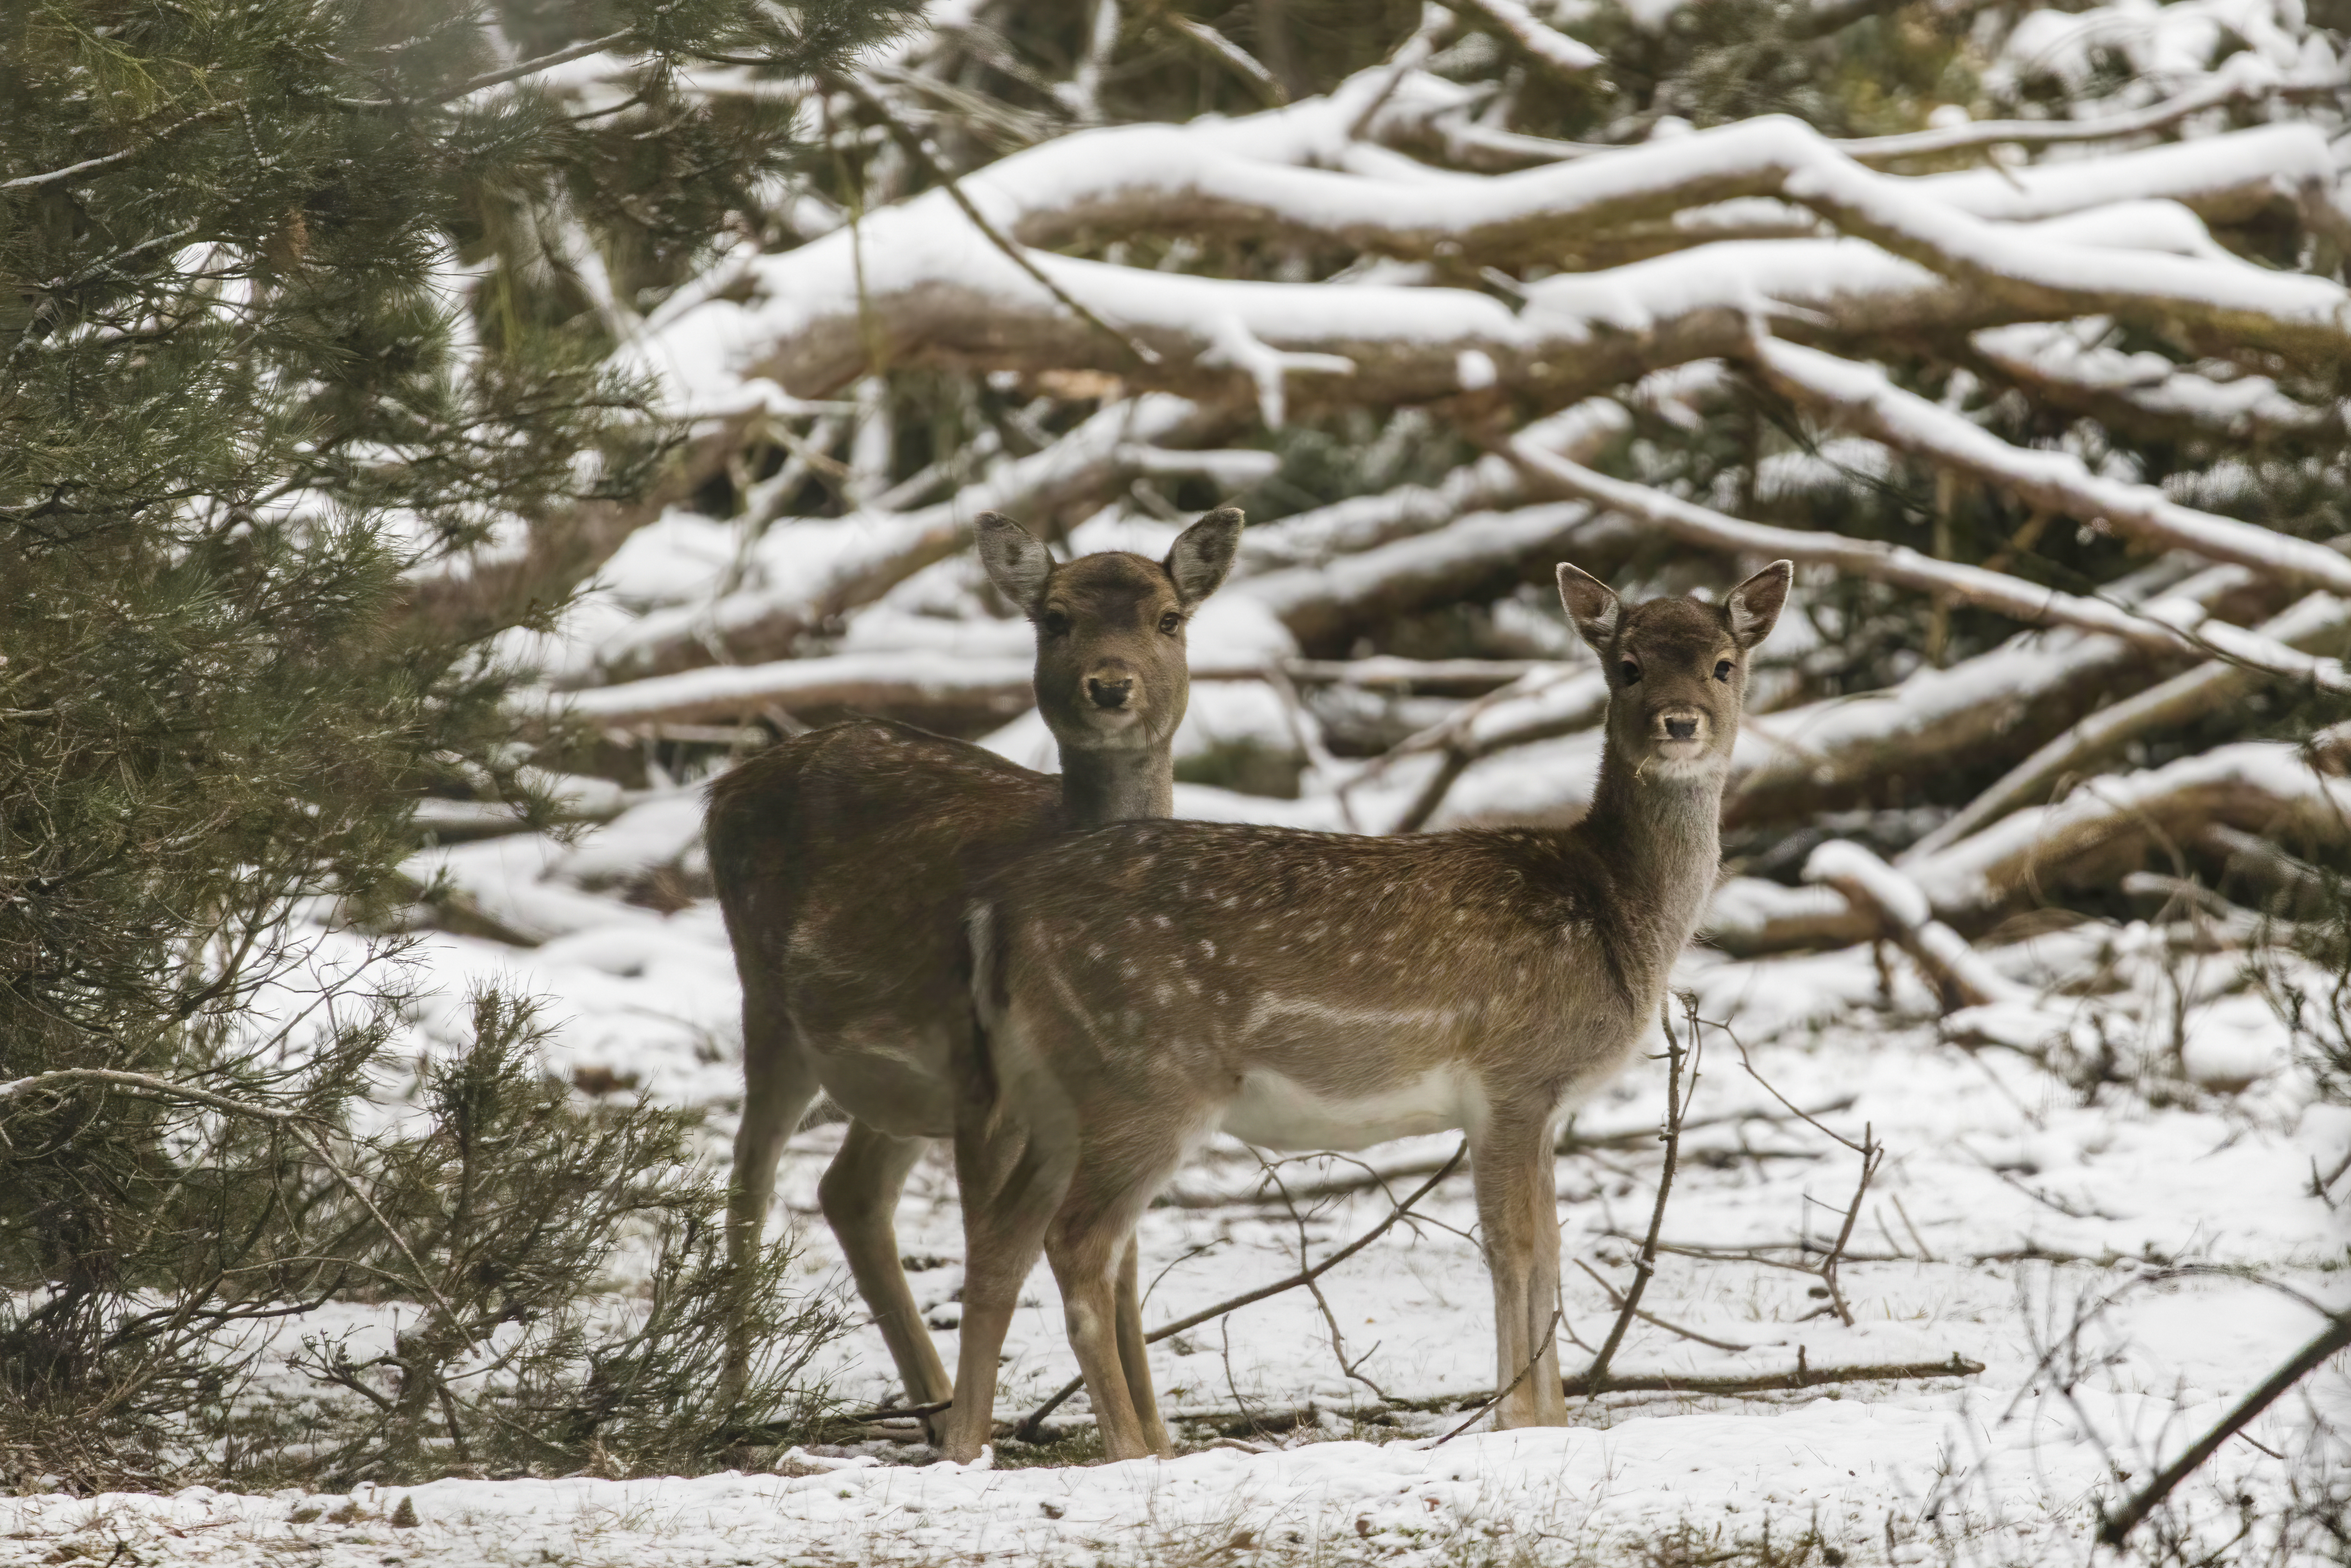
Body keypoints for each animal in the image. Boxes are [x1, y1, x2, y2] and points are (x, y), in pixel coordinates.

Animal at [701, 510, 1241, 1429]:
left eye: (1169, 618)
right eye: (1054, 618)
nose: (1110, 686)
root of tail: (719, 789)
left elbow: (1123, 1256)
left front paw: (1160, 1437)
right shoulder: (987, 1090)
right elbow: (1003, 1247)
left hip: (901, 1081)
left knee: (848, 1192)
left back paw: (929, 1404)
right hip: (771, 1000)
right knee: (749, 1181)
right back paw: (736, 1404)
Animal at [935, 557, 1777, 1467]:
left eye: (1722, 664)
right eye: (1626, 666)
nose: (1679, 722)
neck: (1615, 912)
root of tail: (994, 912)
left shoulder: (1537, 1102)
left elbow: (1550, 1246)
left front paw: (1546, 1420)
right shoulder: (1514, 1075)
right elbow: (1514, 1245)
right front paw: (1523, 1420)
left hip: (1055, 1089)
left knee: (999, 1237)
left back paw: (964, 1448)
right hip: (1145, 1074)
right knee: (1080, 1243)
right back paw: (1133, 1450)